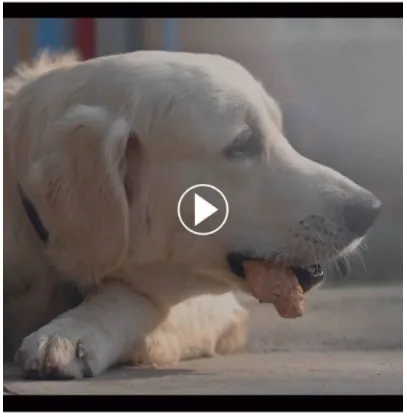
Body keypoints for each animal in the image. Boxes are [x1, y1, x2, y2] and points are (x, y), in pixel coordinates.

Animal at [3, 51, 380, 376]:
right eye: (242, 144)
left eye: (280, 133)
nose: (370, 210)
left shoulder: (218, 308)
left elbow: (131, 297)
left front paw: (71, 333)